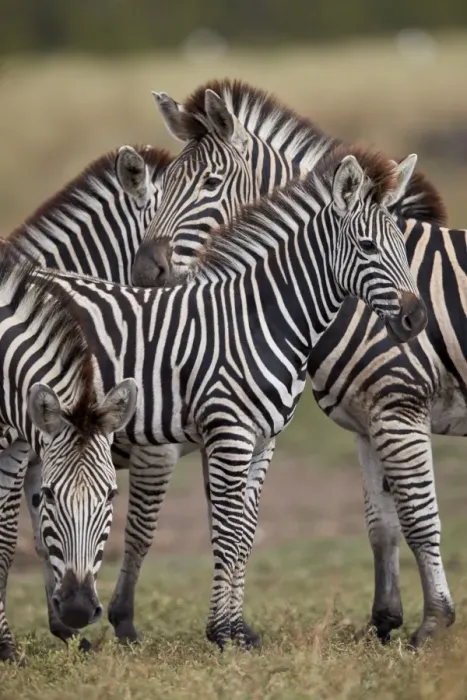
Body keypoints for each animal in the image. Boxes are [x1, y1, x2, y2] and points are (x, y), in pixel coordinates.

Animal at [127, 79, 459, 647]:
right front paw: (384, 622)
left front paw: (433, 625)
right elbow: (383, 525)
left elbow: (420, 519)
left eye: (211, 182)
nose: (145, 271)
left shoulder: (399, 408)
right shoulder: (368, 421)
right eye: (164, 182)